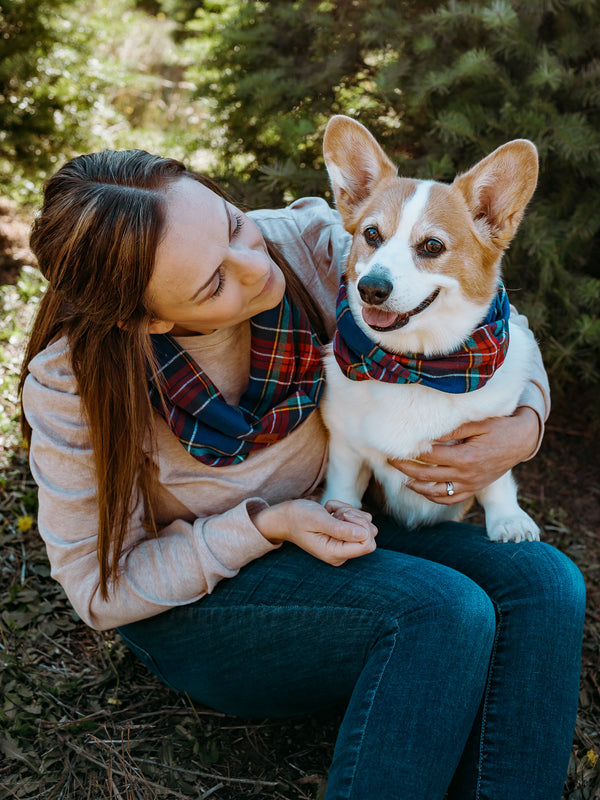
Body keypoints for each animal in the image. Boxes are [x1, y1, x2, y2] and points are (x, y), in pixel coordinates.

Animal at [322, 115, 540, 544]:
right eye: (371, 234)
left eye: (432, 246)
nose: (371, 288)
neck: (419, 367)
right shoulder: (345, 449)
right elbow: (342, 492)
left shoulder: (495, 436)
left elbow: (496, 481)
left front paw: (509, 520)